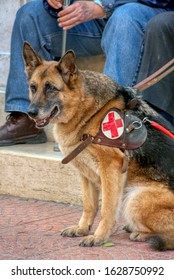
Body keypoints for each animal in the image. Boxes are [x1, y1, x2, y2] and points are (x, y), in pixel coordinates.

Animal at [23, 42, 174, 252]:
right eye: (33, 87)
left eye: (51, 88)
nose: (30, 113)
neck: (90, 111)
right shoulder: (86, 173)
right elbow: (89, 205)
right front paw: (82, 228)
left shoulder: (111, 169)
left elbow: (107, 209)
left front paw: (99, 237)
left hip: (134, 198)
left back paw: (142, 234)